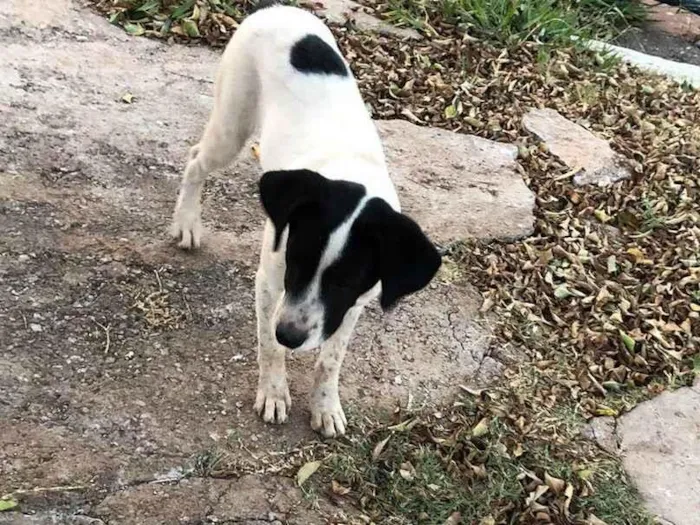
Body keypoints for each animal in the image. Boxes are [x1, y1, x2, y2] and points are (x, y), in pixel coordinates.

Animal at [170, 3, 440, 438]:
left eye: (345, 280)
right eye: (296, 260)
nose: (291, 335)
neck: (353, 178)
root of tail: (277, 9)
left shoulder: (353, 304)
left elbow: (330, 359)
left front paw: (325, 405)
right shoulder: (270, 282)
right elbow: (268, 346)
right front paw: (274, 392)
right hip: (232, 124)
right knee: (196, 159)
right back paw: (187, 223)